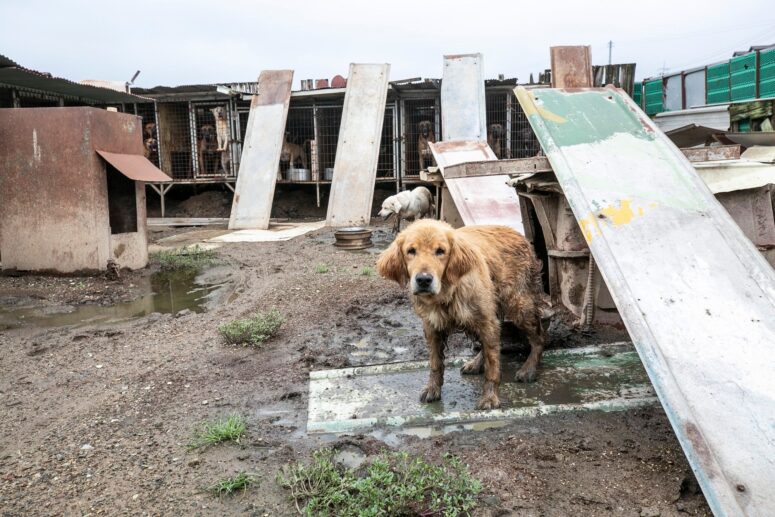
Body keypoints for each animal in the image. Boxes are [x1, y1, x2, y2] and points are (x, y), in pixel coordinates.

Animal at [378, 220, 548, 410]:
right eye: (411, 251)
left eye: (440, 251)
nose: (423, 280)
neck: (447, 292)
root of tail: (518, 234)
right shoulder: (431, 327)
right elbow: (435, 363)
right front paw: (432, 389)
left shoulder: (486, 321)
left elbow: (493, 365)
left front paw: (490, 397)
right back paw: (476, 363)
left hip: (519, 306)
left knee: (539, 338)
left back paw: (529, 369)